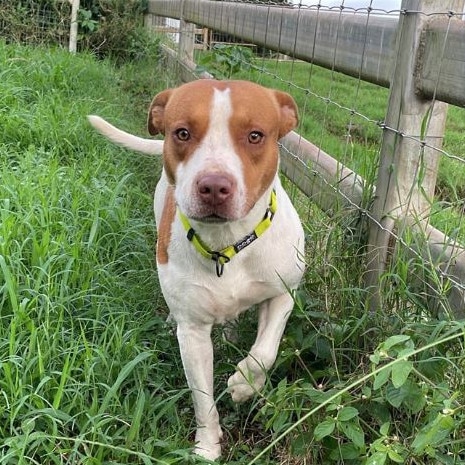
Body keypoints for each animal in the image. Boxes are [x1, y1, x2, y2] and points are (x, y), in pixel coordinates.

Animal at [88, 78, 304, 458]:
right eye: (182, 133)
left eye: (255, 136)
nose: (214, 186)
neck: (228, 243)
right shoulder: (193, 333)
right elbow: (202, 397)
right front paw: (207, 446)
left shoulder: (284, 292)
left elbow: (265, 351)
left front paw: (243, 385)